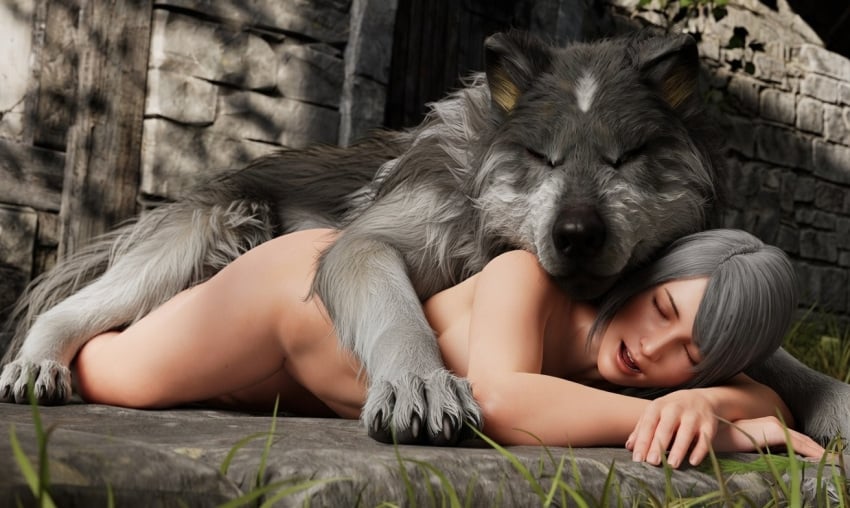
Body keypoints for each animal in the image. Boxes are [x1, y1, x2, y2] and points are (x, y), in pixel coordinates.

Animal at [2, 30, 848, 446]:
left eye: (625, 158)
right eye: (542, 159)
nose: (575, 235)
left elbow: (773, 352)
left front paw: (832, 400)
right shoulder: (366, 245)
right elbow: (398, 313)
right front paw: (421, 382)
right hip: (210, 235)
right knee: (70, 308)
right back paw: (37, 366)